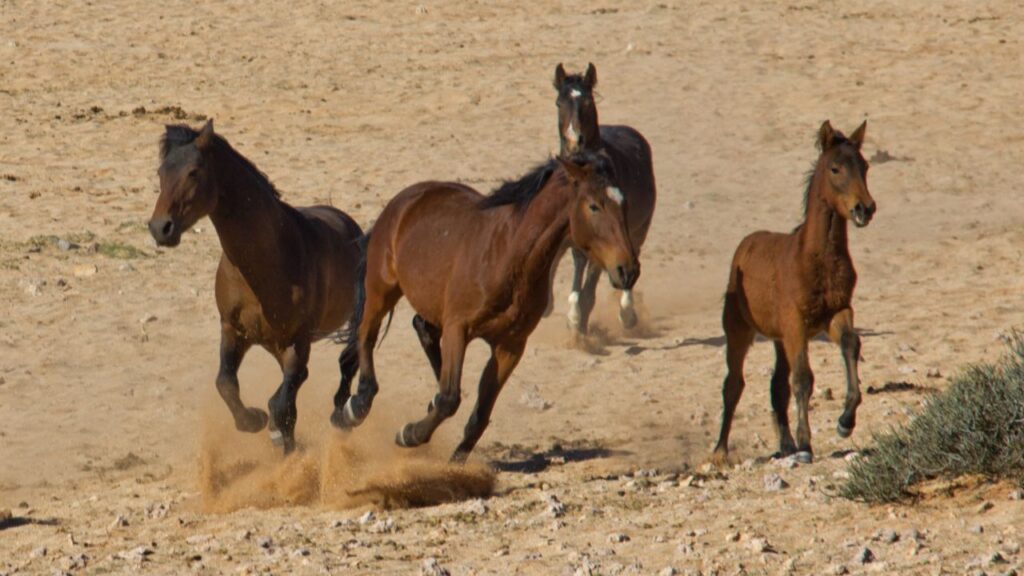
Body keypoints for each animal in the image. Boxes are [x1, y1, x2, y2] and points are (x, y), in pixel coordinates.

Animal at [148, 120, 363, 455]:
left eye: (194, 171)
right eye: (161, 172)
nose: (160, 228)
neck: (263, 266)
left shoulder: (297, 340)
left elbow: (283, 403)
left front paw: (279, 436)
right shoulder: (233, 330)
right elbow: (226, 383)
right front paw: (253, 420)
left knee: (344, 364)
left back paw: (342, 417)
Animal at [331, 152, 639, 461]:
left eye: (624, 204)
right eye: (594, 206)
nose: (628, 270)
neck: (509, 258)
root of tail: (403, 200)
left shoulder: (510, 346)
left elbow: (480, 413)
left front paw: (455, 462)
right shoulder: (458, 329)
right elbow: (450, 399)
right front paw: (409, 434)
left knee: (421, 328)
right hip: (381, 288)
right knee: (366, 336)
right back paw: (354, 408)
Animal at [545, 63, 657, 338]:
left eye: (587, 101)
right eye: (559, 102)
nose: (574, 140)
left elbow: (590, 285)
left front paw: (579, 325)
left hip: (639, 230)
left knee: (630, 262)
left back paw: (627, 313)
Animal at [712, 120, 876, 465]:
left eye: (865, 166)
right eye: (835, 168)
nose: (865, 209)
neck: (816, 258)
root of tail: (745, 244)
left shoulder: (837, 313)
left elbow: (851, 344)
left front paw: (845, 422)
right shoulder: (796, 324)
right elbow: (803, 378)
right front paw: (804, 445)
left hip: (778, 338)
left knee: (776, 386)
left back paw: (784, 444)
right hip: (739, 331)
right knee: (734, 384)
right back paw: (720, 450)